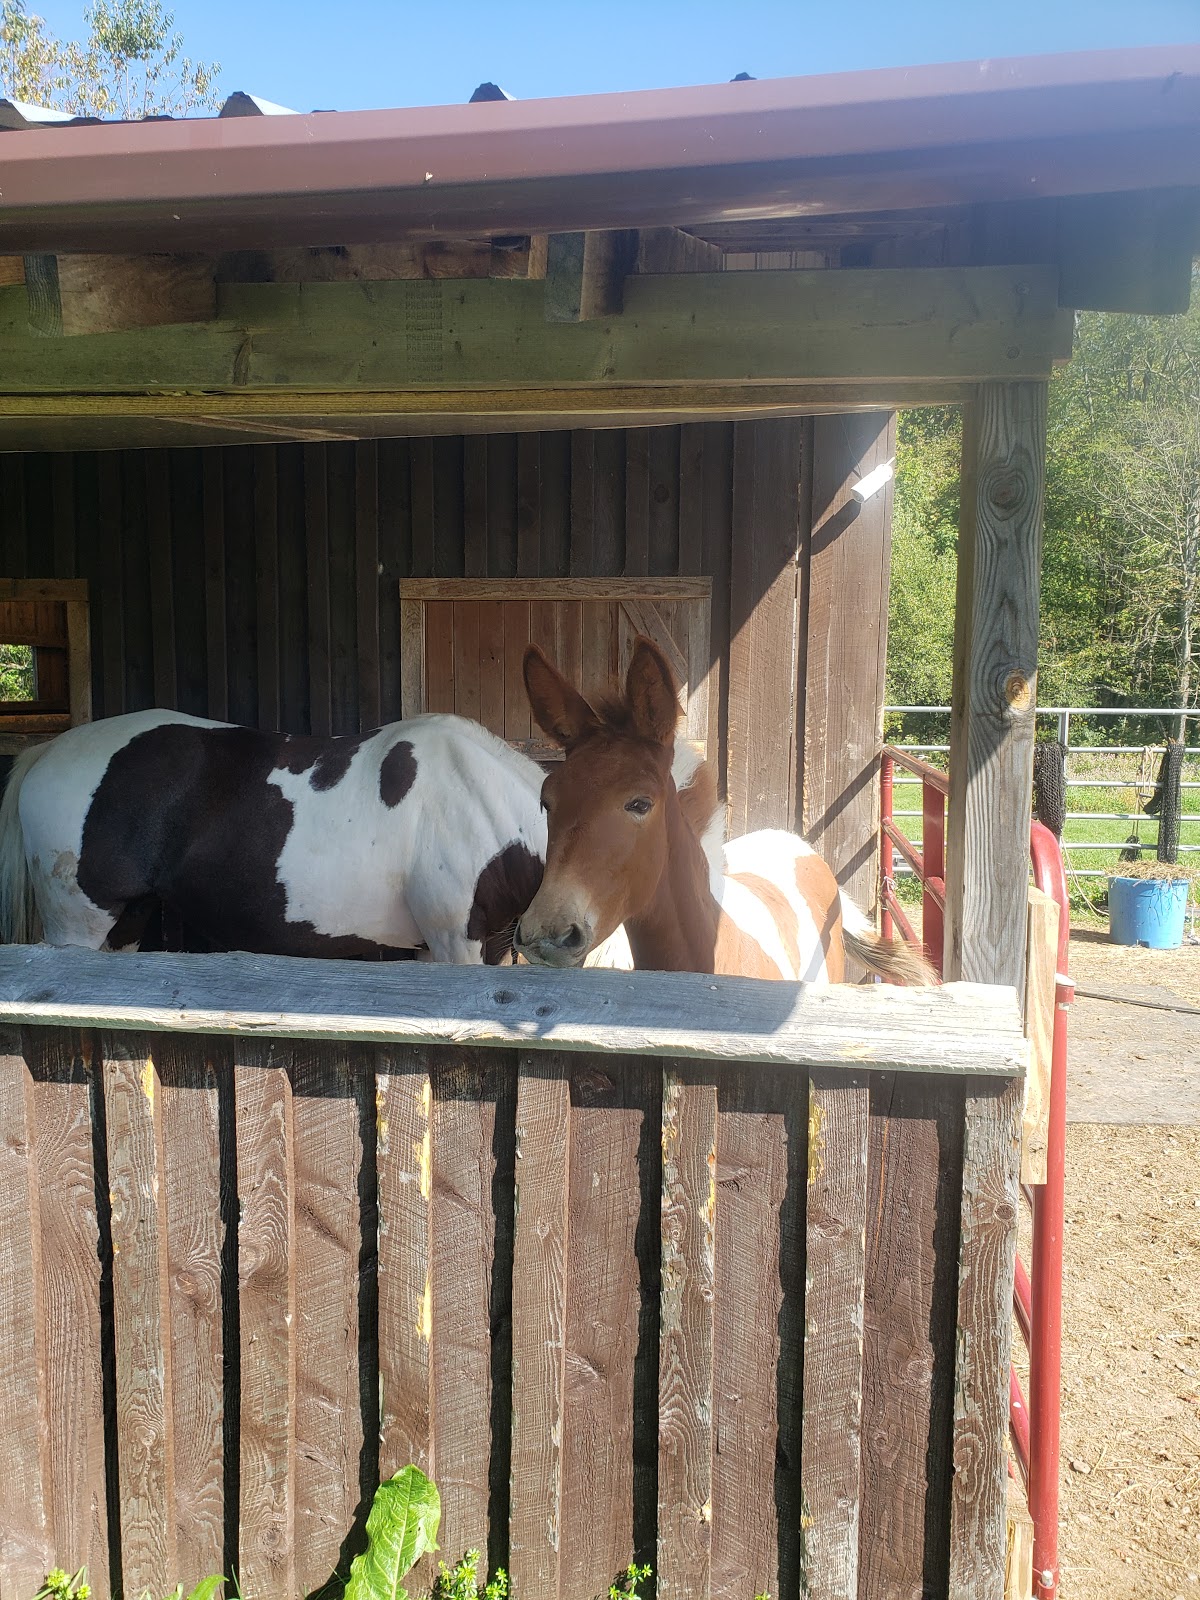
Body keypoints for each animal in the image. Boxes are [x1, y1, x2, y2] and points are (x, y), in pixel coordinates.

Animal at [0, 704, 706, 966]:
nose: (558, 937)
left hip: (125, 927)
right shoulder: (457, 946)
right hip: (78, 930)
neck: (482, 806)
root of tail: (48, 752)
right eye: (638, 806)